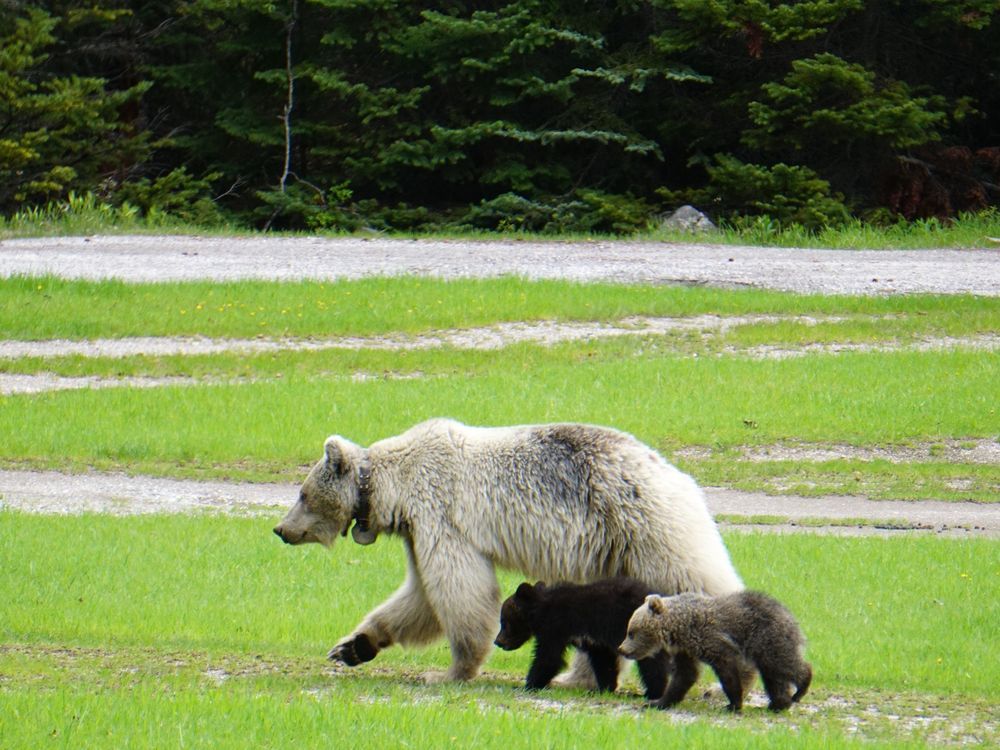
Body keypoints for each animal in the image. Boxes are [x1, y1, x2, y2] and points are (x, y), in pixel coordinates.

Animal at [274, 420, 744, 684]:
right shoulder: (416, 531)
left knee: (696, 580)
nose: (280, 529)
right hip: (614, 551)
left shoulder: (440, 515)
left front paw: (448, 671)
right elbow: (419, 597)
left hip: (647, 527)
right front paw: (352, 646)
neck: (394, 487)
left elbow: (459, 589)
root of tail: (679, 474)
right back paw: (579, 678)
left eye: (301, 493)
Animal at [620, 592, 808, 712]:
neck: (679, 627)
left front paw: (733, 704)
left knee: (783, 664)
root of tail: (791, 617)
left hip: (767, 638)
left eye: (631, 632)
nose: (621, 649)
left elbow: (728, 672)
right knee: (773, 676)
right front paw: (658, 702)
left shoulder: (713, 641)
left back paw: (801, 688)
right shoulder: (686, 651)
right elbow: (684, 676)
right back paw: (778, 704)